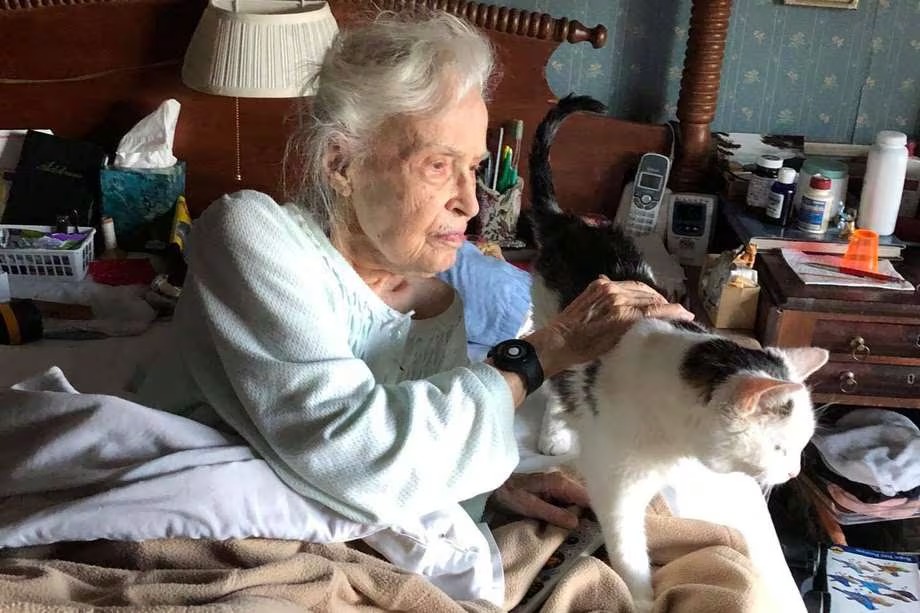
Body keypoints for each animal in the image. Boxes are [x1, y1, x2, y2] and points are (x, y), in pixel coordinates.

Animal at [528, 93, 832, 608]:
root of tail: (570, 223)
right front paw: (644, 600)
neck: (674, 437)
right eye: (779, 446)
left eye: (803, 446)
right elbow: (631, 557)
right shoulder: (617, 490)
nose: (792, 475)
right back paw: (555, 431)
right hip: (552, 326)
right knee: (555, 383)